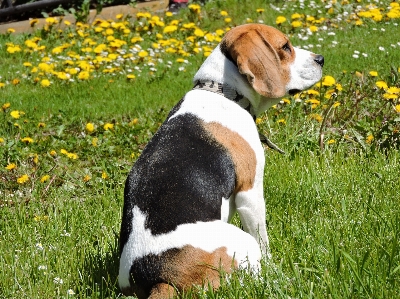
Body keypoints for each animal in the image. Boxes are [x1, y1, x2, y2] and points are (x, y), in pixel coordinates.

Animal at [119, 24, 324, 299]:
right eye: (285, 47)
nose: (321, 59)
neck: (222, 92)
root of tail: (161, 279)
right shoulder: (250, 193)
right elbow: (263, 239)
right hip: (242, 241)